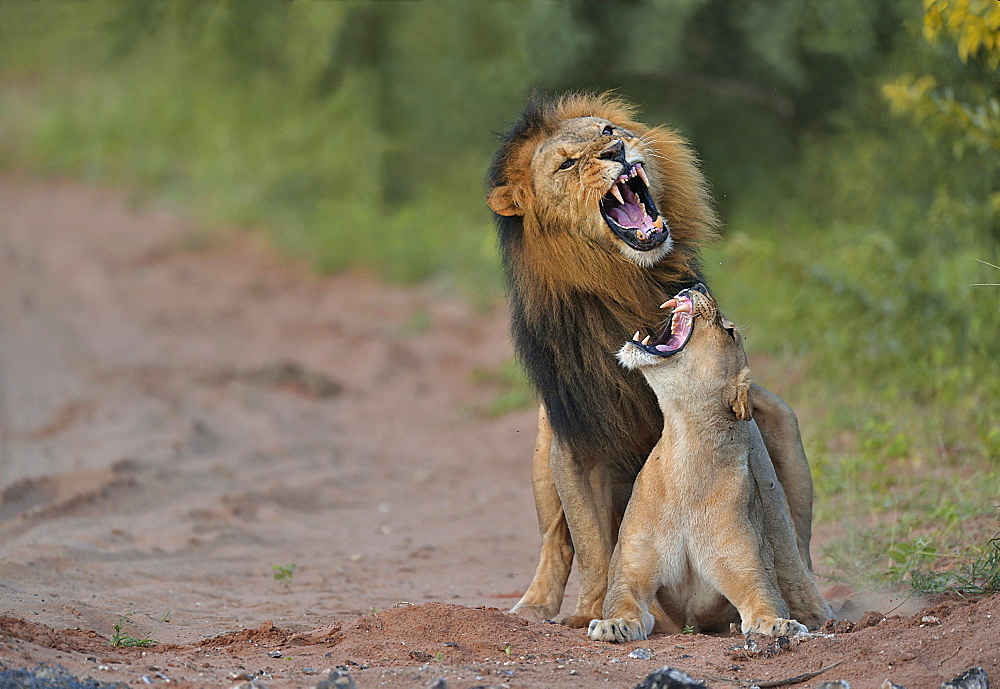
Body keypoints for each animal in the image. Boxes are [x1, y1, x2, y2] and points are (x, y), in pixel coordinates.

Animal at [584, 284, 828, 640]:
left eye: (729, 331)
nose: (698, 287)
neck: (687, 450)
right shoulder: (630, 573)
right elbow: (621, 602)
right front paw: (614, 625)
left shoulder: (749, 572)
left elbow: (766, 603)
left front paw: (778, 625)